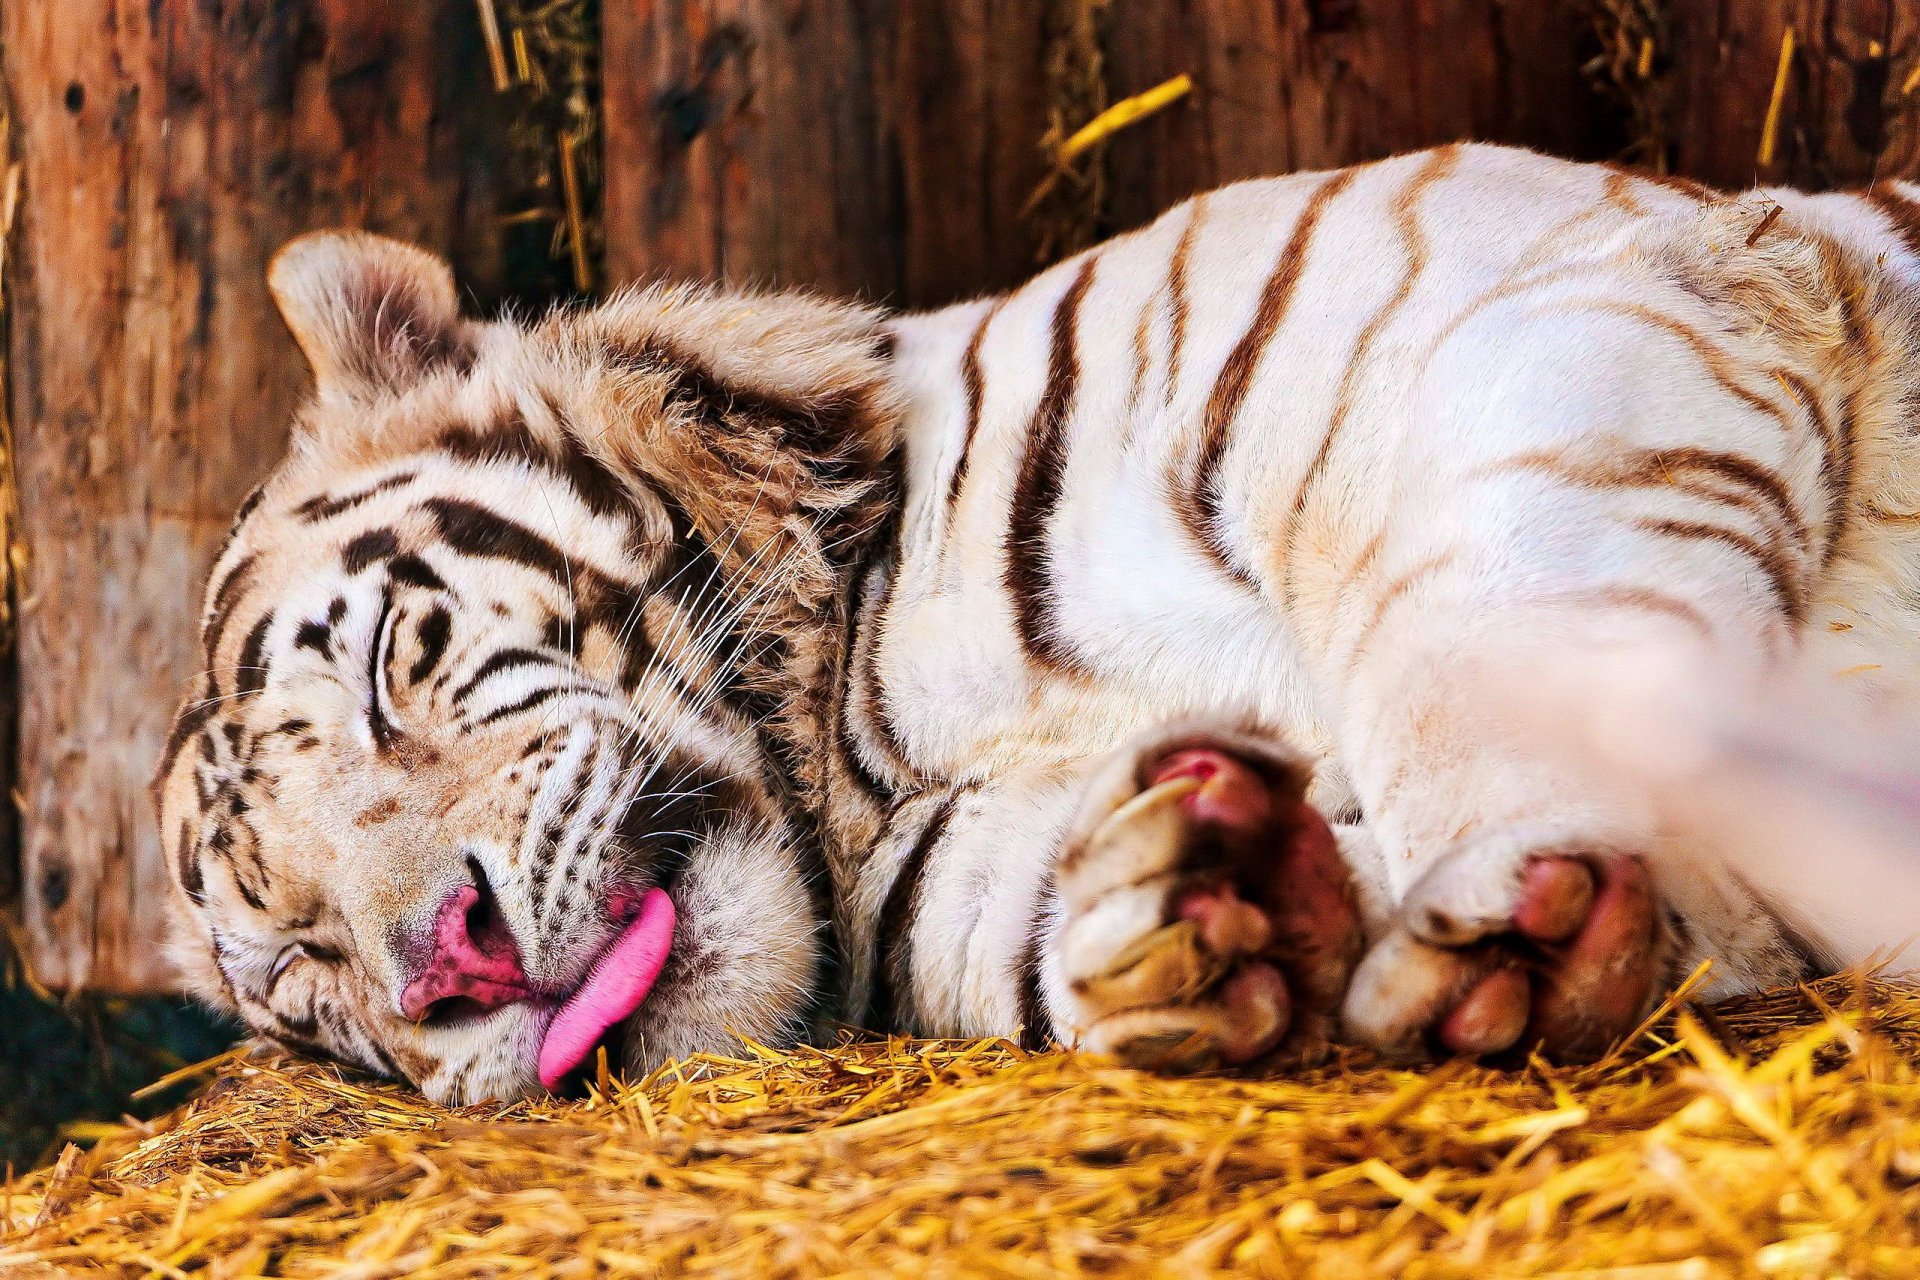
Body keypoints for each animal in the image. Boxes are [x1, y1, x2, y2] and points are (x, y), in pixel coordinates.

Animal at [154, 142, 1920, 1105]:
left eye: (386, 671)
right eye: (301, 968)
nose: (453, 967)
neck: (843, 739)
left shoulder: (1518, 302)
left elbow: (1480, 638)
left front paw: (1505, 915)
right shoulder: (956, 879)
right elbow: (1039, 928)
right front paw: (1212, 901)